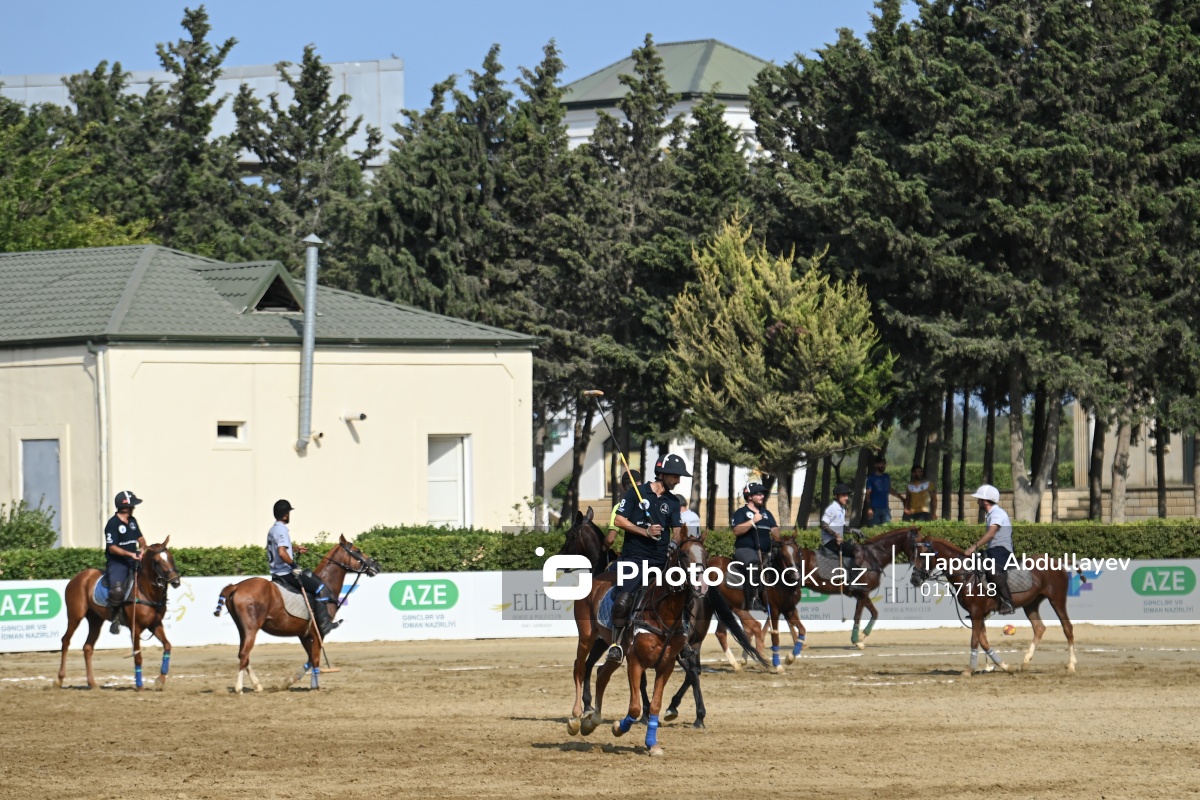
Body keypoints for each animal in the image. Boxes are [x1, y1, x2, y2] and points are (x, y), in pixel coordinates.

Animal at [55, 539, 181, 690]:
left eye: (171, 557)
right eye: (156, 561)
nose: (176, 581)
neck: (146, 592)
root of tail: (76, 578)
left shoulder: (155, 625)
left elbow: (167, 646)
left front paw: (160, 680)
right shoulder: (135, 628)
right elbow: (138, 656)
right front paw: (139, 685)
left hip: (95, 619)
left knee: (87, 647)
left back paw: (92, 683)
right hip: (75, 615)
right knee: (65, 641)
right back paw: (60, 679)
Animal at [214, 535, 381, 692]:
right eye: (357, 550)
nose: (376, 566)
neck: (326, 583)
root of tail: (235, 586)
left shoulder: (304, 634)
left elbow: (310, 659)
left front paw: (289, 682)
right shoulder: (318, 632)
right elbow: (315, 658)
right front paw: (315, 686)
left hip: (242, 628)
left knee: (244, 655)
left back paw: (257, 685)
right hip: (251, 628)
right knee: (244, 654)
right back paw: (239, 688)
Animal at [904, 531, 1079, 676]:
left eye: (923, 556)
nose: (915, 580)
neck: (966, 575)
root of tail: (1055, 560)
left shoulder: (976, 612)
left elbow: (975, 640)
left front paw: (969, 670)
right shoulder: (977, 614)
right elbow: (984, 642)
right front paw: (1005, 666)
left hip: (1057, 599)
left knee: (1067, 628)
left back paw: (1071, 665)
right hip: (1031, 603)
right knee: (1039, 628)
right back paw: (1025, 662)